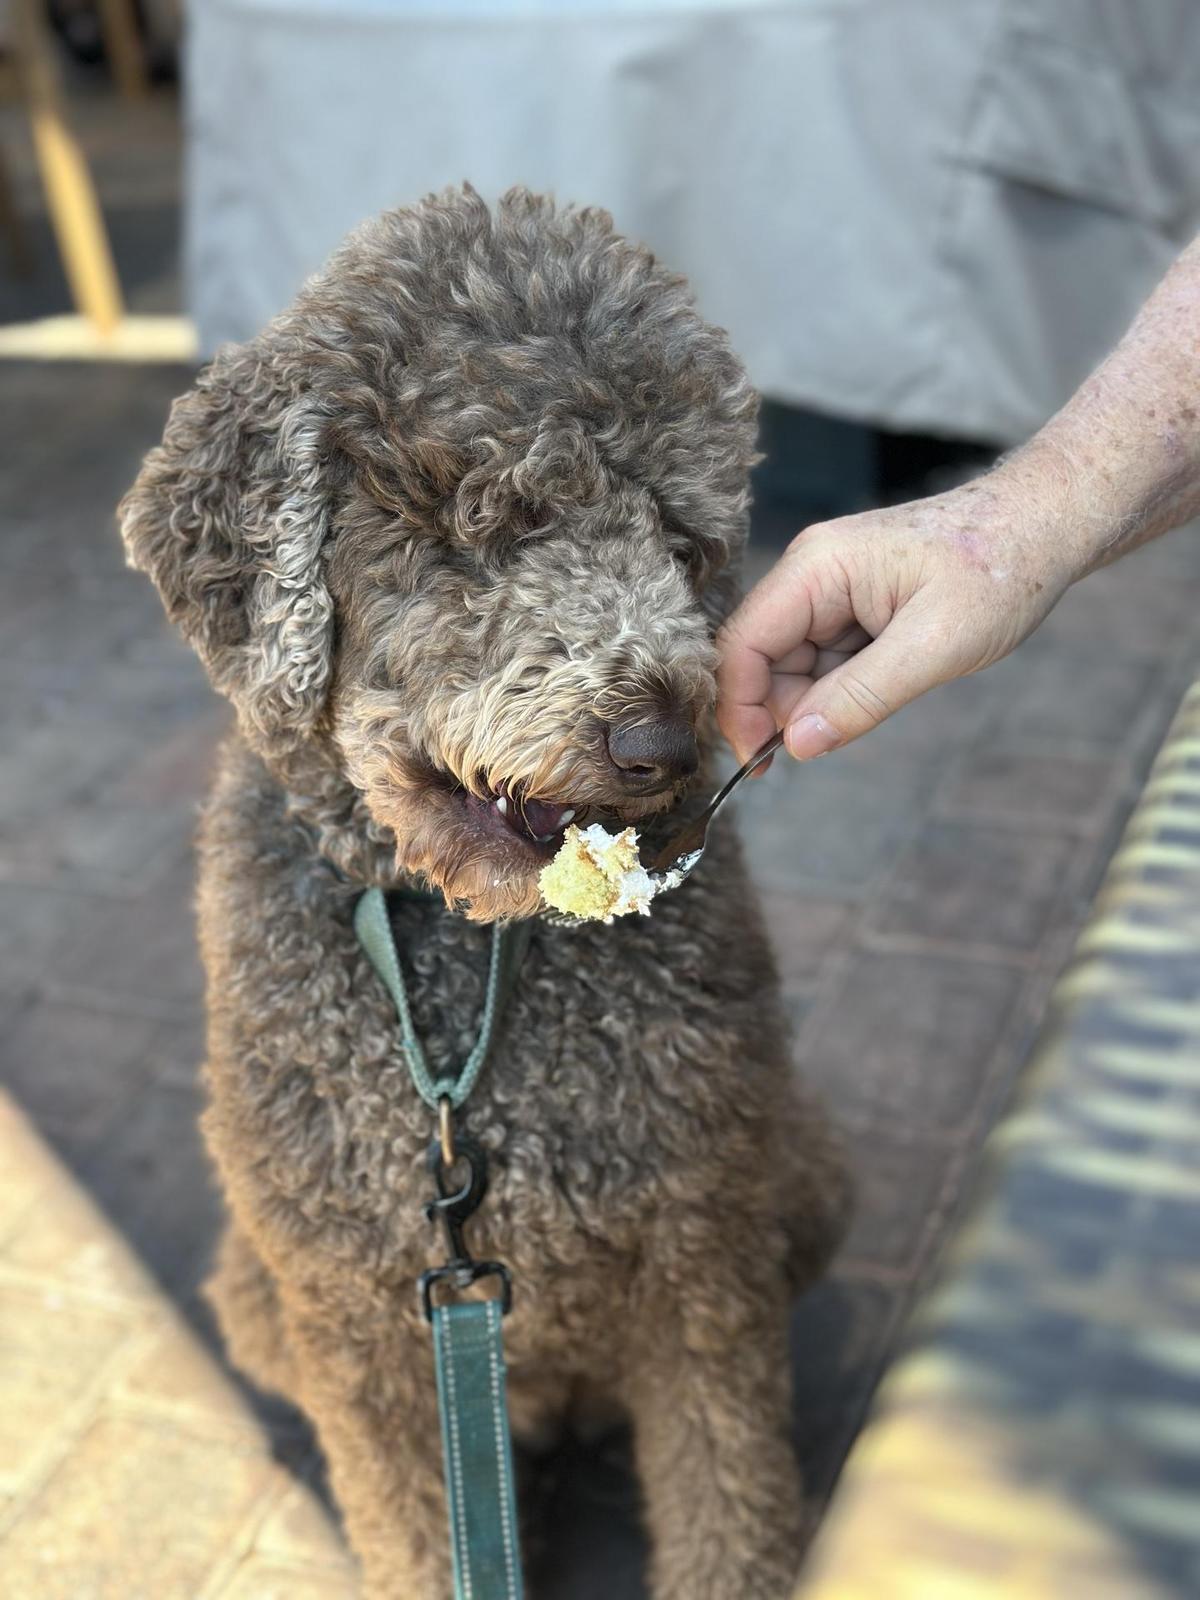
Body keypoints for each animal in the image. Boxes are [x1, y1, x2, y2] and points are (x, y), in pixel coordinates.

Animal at [117, 190, 851, 1600]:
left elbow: (725, 1488)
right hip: (258, 1294)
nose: (662, 745)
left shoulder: (704, 1250)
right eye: (482, 522)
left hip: (803, 1181)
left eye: (680, 543)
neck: (472, 953)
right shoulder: (360, 1308)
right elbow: (411, 1527)